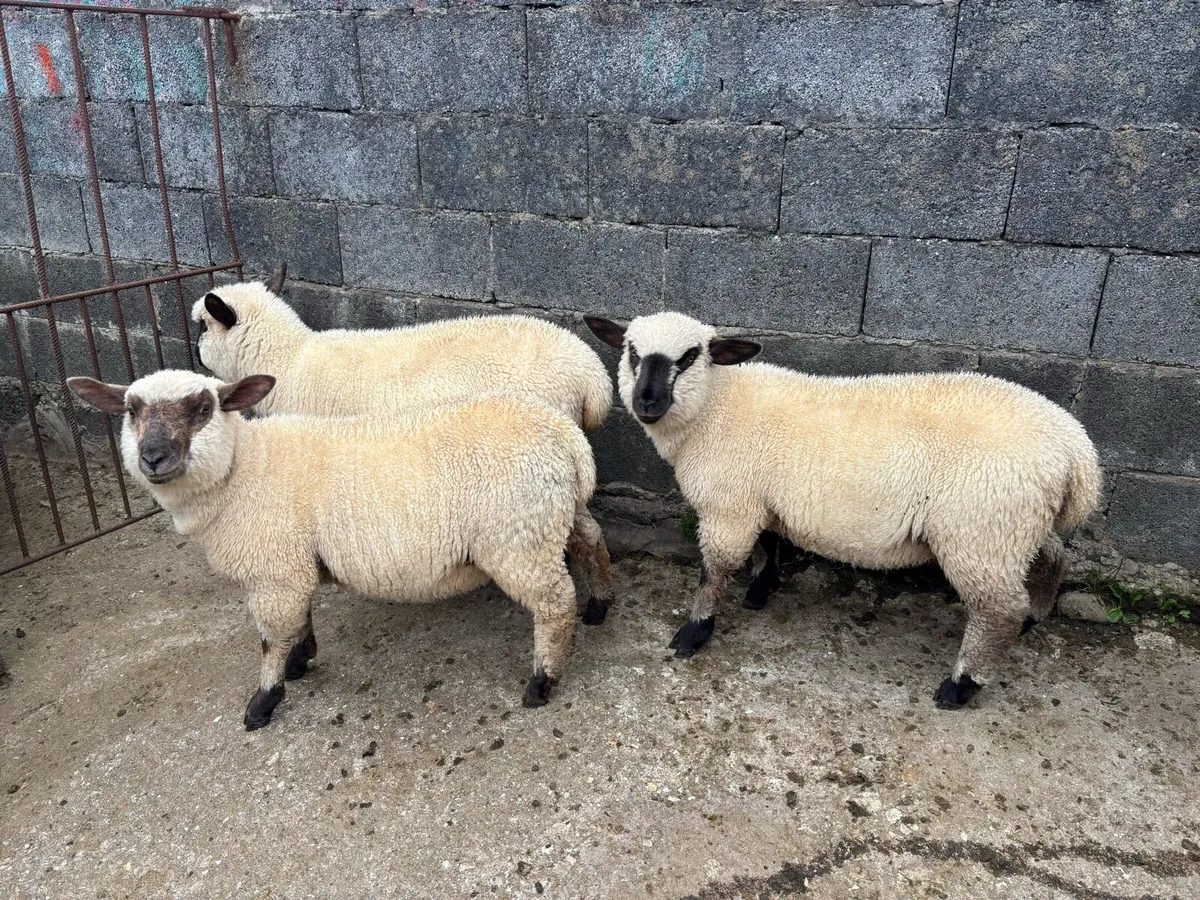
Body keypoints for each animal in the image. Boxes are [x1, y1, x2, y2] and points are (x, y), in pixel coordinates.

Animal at [68, 370, 599, 729]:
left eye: (203, 409)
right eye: (131, 411)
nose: (153, 458)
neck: (243, 470)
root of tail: (568, 438)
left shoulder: (274, 568)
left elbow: (271, 636)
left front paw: (264, 700)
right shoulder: (291, 564)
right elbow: (300, 615)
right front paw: (301, 660)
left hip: (519, 538)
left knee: (555, 604)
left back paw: (542, 682)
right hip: (552, 517)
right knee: (591, 541)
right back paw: (601, 604)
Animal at [189, 264, 616, 628]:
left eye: (202, 326)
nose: (195, 356)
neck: (287, 361)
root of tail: (592, 375)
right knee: (588, 533)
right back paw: (598, 605)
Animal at [585, 312, 1102, 709]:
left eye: (691, 356)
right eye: (632, 352)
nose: (646, 401)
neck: (716, 407)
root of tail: (1079, 455)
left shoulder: (729, 506)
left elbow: (714, 572)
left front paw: (694, 633)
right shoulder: (759, 498)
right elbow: (768, 543)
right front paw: (761, 590)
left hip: (980, 531)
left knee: (999, 610)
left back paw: (960, 686)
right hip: (1015, 524)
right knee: (1052, 558)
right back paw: (1035, 618)